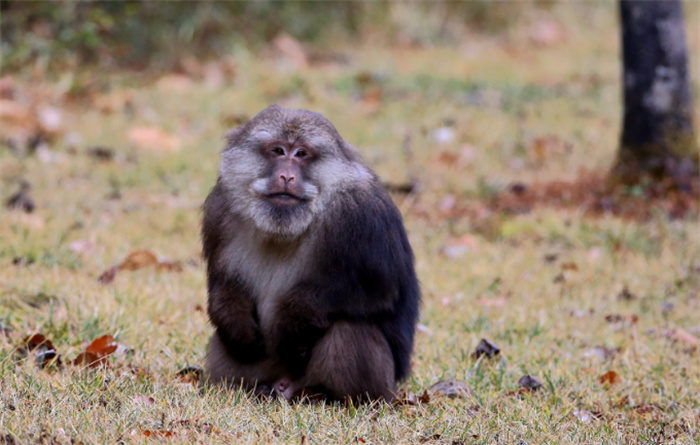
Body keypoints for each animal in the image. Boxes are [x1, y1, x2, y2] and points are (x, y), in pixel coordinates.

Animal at [202, 105, 422, 402]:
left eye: (301, 154)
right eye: (279, 151)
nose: (286, 176)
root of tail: (284, 385)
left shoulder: (363, 215)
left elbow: (378, 289)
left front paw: (292, 322)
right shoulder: (220, 208)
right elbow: (223, 282)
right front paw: (238, 326)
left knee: (349, 327)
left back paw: (329, 395)